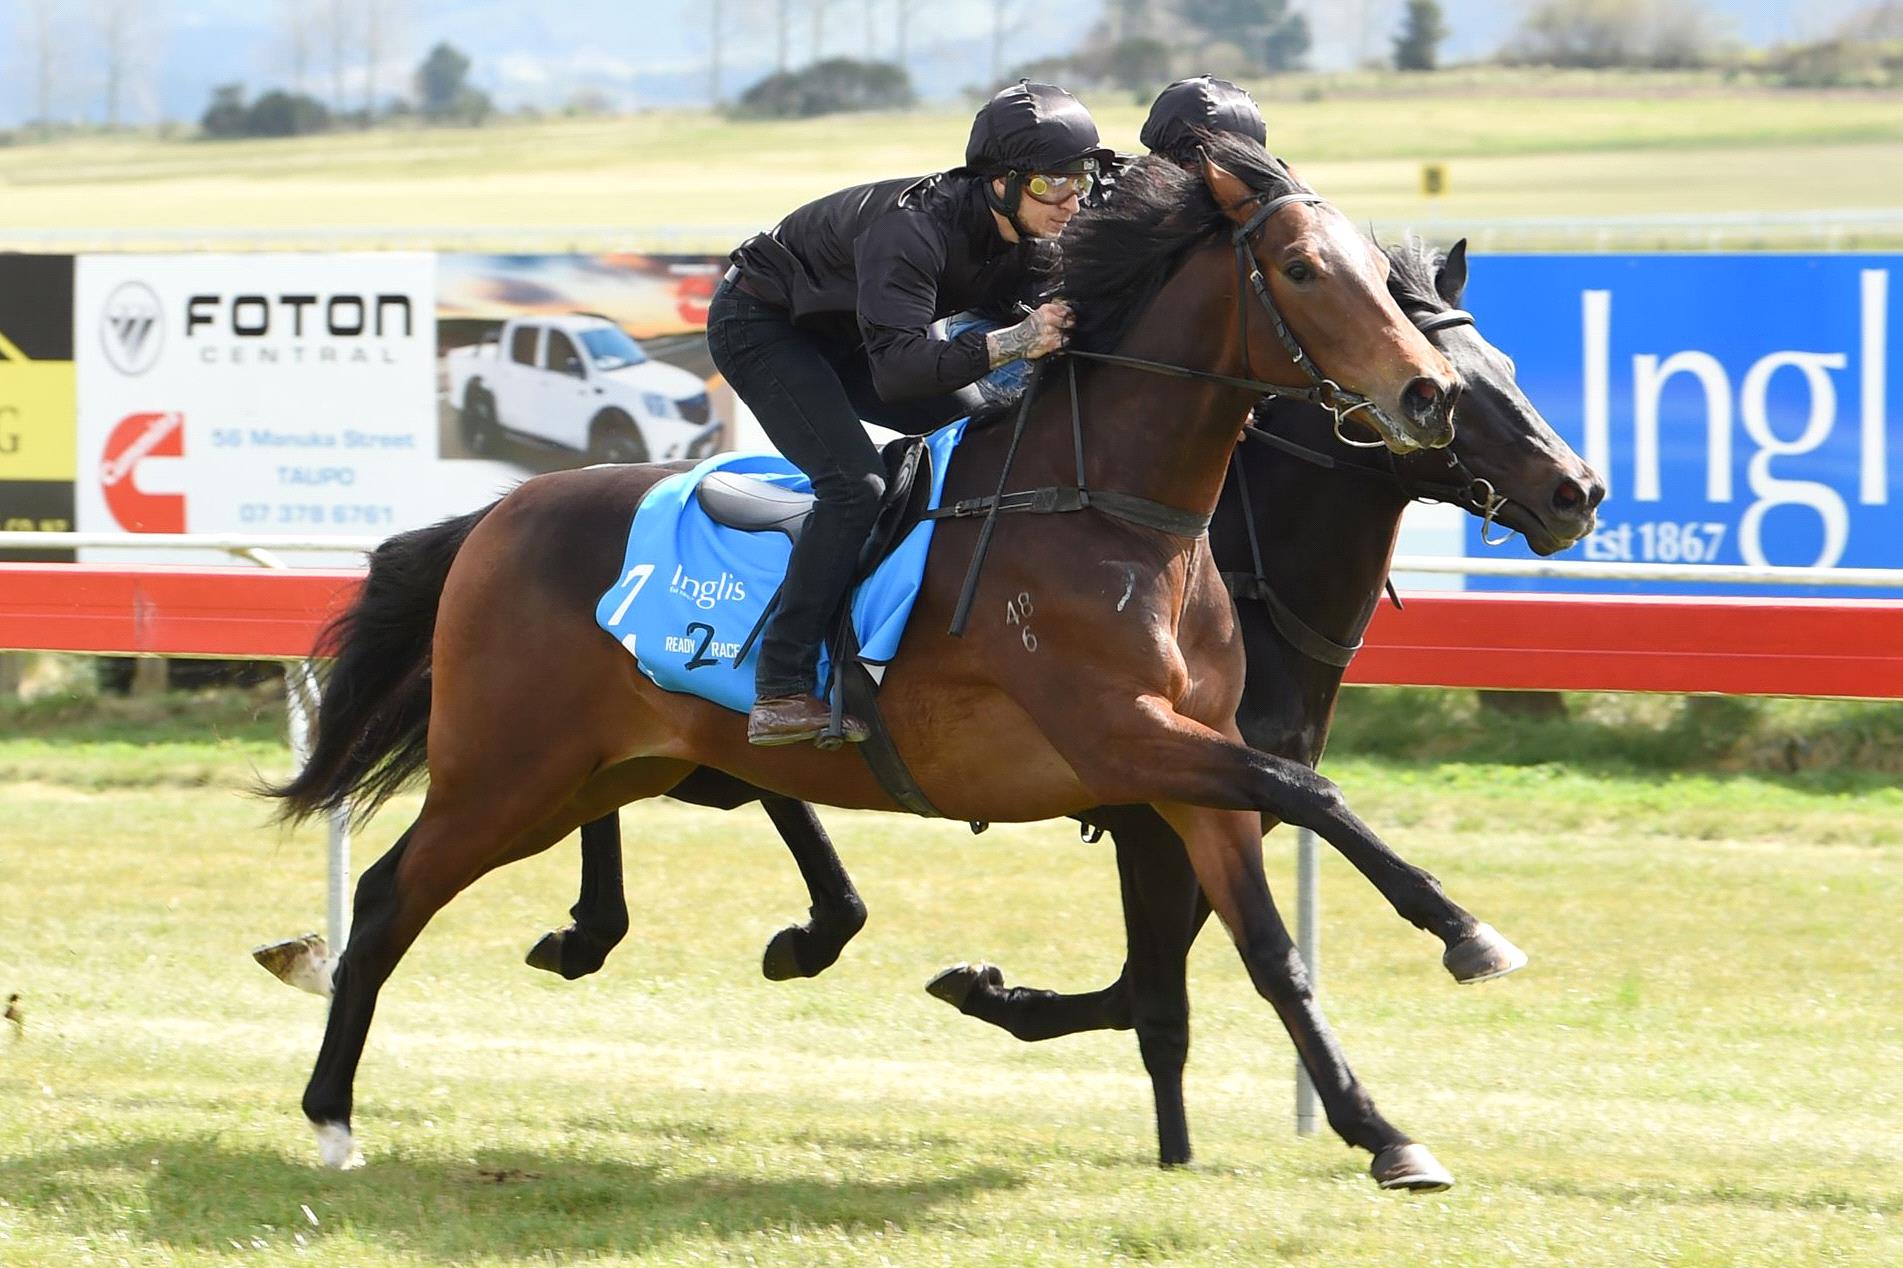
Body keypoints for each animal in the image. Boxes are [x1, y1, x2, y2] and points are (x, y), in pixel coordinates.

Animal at [264, 140, 1453, 1188]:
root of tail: (499, 512)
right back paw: (330, 1116)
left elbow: (1273, 946)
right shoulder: (1124, 737)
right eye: (1303, 269)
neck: (1110, 509)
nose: (1427, 392)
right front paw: (1462, 932)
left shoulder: (1187, 769)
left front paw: (1385, 1133)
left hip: (600, 766)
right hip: (505, 771)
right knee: (387, 895)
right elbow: (1309, 791)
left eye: (1376, 272)